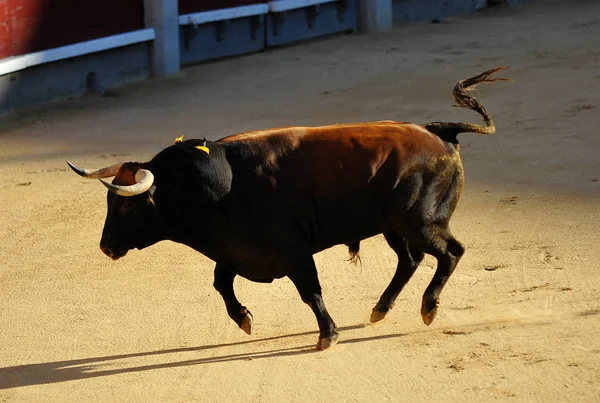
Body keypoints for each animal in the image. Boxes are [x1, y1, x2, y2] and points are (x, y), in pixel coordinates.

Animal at [67, 67, 506, 350]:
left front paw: (327, 335)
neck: (216, 185)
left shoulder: (292, 251)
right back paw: (380, 310)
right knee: (410, 260)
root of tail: (439, 131)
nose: (106, 247)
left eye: (127, 209)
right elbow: (220, 280)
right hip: (392, 225)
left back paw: (428, 308)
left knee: (449, 252)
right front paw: (244, 319)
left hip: (420, 220)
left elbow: (309, 291)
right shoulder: (239, 250)